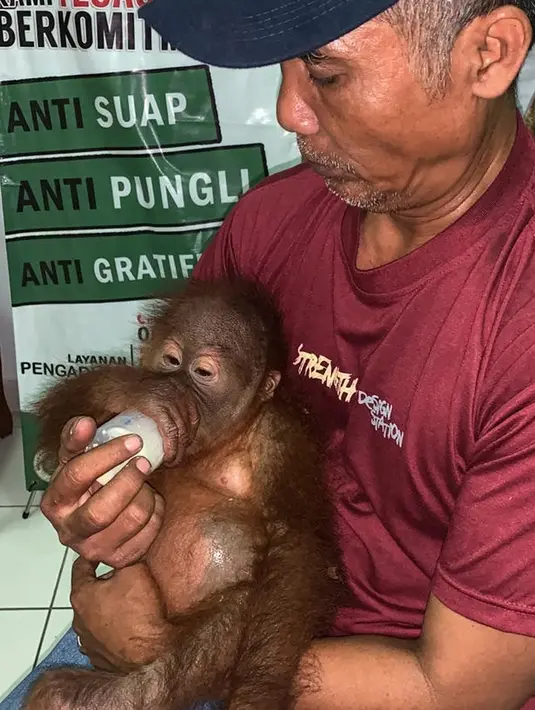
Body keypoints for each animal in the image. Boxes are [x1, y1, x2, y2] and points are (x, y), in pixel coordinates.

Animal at [23, 277, 344, 710]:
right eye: (172, 361)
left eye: (203, 372)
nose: (178, 387)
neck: (217, 445)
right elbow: (68, 406)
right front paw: (147, 395)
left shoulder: (283, 439)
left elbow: (294, 547)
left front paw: (253, 696)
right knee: (52, 694)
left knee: (238, 610)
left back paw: (142, 692)